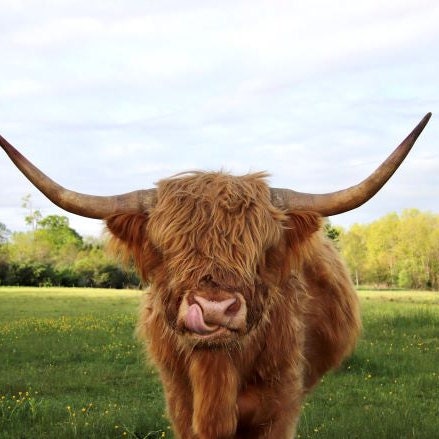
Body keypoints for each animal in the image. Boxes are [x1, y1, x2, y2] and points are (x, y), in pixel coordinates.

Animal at [0, 114, 434, 439]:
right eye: (166, 247)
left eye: (262, 248)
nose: (213, 310)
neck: (219, 376)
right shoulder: (179, 404)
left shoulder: (281, 406)